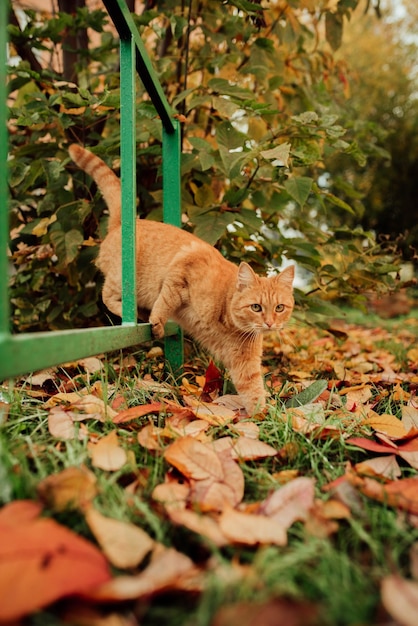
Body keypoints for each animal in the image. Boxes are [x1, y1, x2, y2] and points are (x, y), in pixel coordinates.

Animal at [69, 144, 294, 412]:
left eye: (279, 308)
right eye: (256, 307)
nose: (269, 323)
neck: (227, 320)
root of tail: (121, 225)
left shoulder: (244, 363)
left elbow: (254, 392)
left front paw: (264, 417)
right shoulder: (182, 271)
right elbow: (165, 301)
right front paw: (157, 322)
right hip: (122, 280)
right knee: (107, 296)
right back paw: (134, 313)